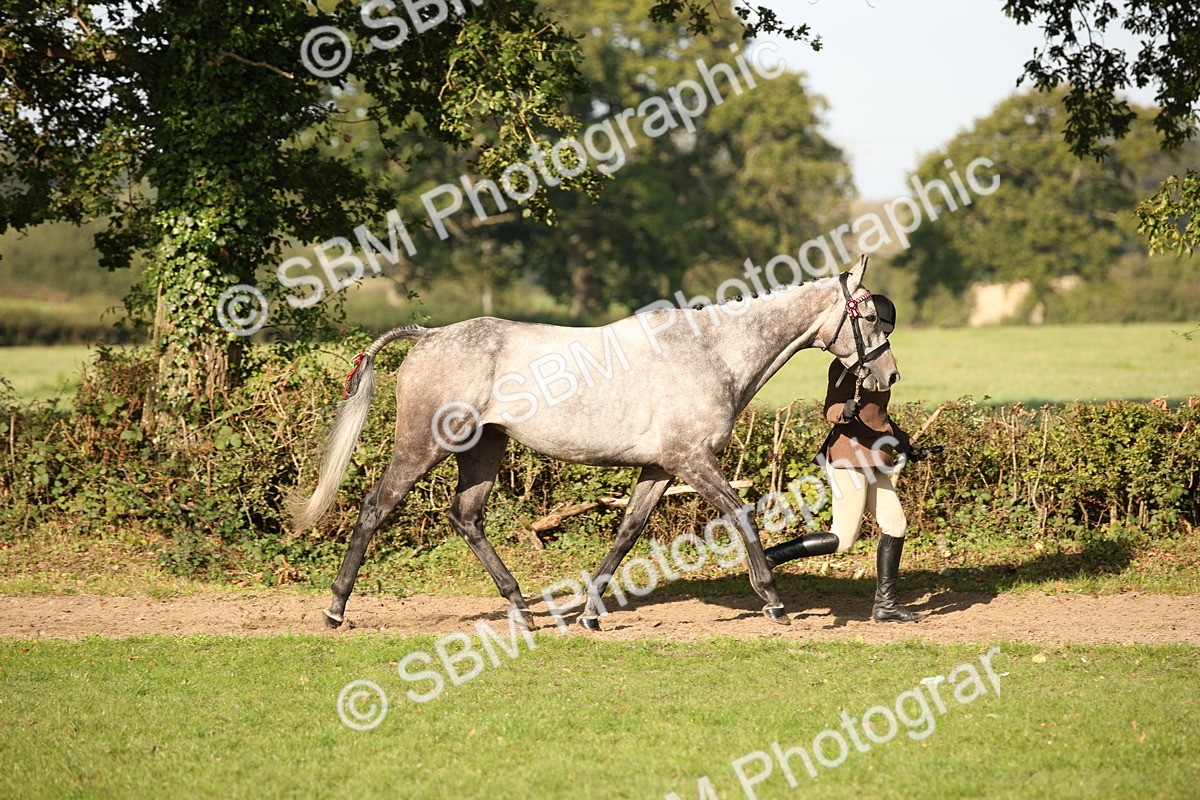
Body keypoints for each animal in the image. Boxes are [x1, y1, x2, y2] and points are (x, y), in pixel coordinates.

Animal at [291, 255, 899, 630]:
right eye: (869, 315)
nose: (888, 375)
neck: (714, 352)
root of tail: (430, 336)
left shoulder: (661, 468)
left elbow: (627, 532)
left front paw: (588, 612)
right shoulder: (693, 461)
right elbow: (741, 515)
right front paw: (771, 598)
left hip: (484, 450)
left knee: (465, 517)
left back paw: (521, 608)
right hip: (423, 447)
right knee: (376, 507)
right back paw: (336, 609)